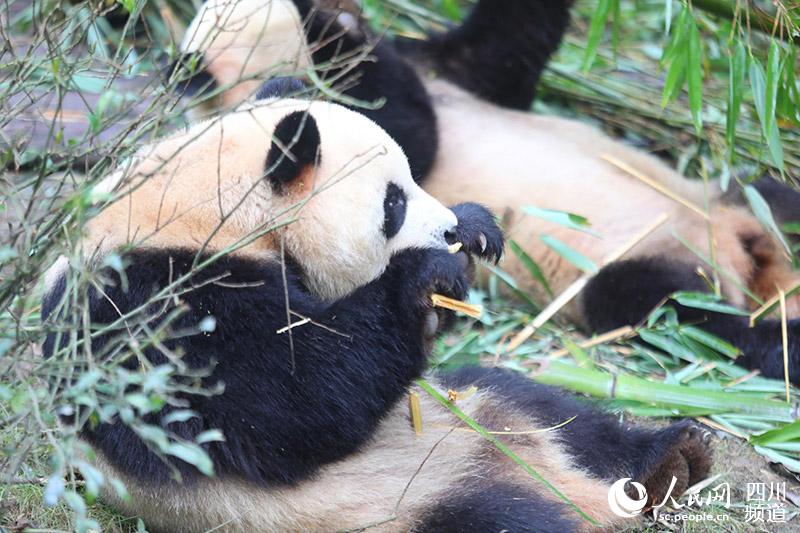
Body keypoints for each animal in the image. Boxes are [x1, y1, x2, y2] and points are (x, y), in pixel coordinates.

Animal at [42, 85, 712, 528]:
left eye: (415, 178)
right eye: (392, 203)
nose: (447, 231)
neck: (197, 207)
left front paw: (476, 229)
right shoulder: (146, 307)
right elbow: (291, 403)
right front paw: (427, 276)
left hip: (480, 406)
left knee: (553, 409)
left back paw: (669, 459)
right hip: (397, 508)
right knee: (501, 516)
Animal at [172, 1, 800, 382]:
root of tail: (742, 254)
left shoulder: (451, 66)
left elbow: (506, 48)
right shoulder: (330, 136)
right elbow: (408, 130)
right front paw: (335, 25)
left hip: (736, 199)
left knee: (772, 197)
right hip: (640, 269)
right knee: (680, 311)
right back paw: (780, 338)